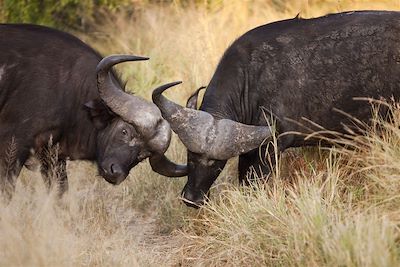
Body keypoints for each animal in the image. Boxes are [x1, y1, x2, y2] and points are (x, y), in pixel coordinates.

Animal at [0, 24, 187, 197]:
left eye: (144, 155)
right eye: (124, 131)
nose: (115, 173)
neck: (69, 92)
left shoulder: (53, 158)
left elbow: (60, 191)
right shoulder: (13, 146)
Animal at [152, 11, 400, 207]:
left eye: (218, 164)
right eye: (190, 156)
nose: (192, 199)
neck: (251, 79)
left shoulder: (271, 148)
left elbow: (253, 184)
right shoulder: (248, 148)